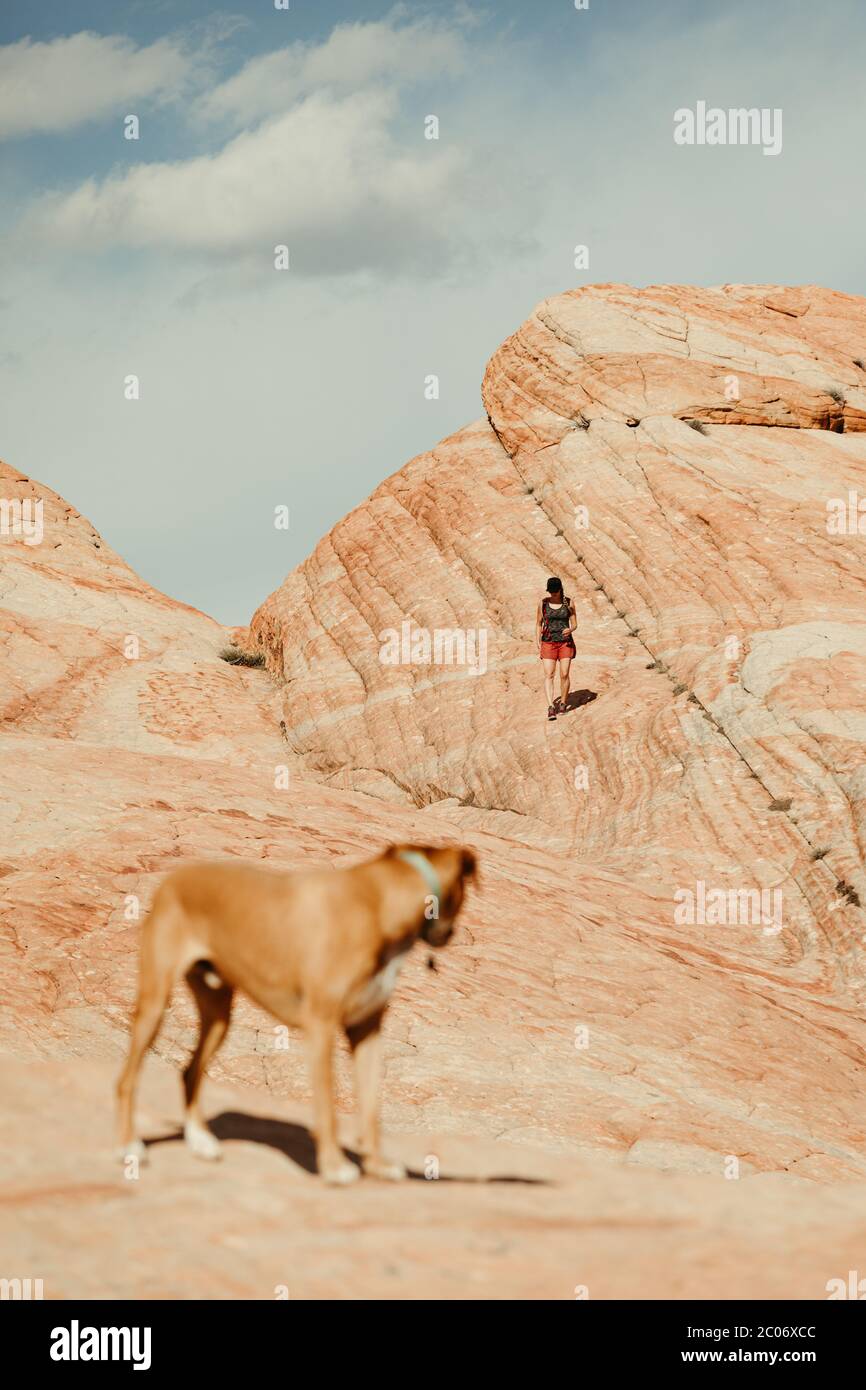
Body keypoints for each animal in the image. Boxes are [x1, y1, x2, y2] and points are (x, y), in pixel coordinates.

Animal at [116, 845, 478, 1184]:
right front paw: (334, 1167)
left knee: (189, 1072)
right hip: (154, 1004)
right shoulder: (321, 1026)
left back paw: (200, 1142)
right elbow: (327, 1106)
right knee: (127, 1079)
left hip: (218, 1015)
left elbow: (371, 1107)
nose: (450, 935)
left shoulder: (366, 1032)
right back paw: (130, 1146)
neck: (378, 902)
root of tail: (173, 878)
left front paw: (377, 1166)